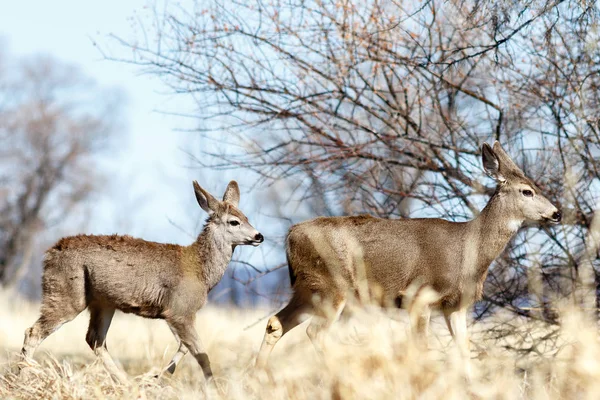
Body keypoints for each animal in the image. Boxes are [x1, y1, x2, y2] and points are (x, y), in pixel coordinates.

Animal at [22, 180, 262, 382]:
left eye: (247, 218)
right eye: (234, 222)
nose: (259, 236)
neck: (200, 269)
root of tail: (49, 253)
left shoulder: (174, 312)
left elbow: (185, 347)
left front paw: (158, 377)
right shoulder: (179, 310)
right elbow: (200, 353)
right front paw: (211, 387)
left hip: (103, 303)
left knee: (95, 339)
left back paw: (125, 383)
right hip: (66, 294)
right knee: (33, 332)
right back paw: (22, 376)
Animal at [256, 142, 564, 368]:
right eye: (527, 191)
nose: (557, 213)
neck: (468, 249)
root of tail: (290, 235)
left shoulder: (455, 305)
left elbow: (463, 350)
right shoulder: (419, 295)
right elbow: (421, 348)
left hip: (308, 288)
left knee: (275, 323)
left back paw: (259, 376)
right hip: (332, 285)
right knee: (314, 331)